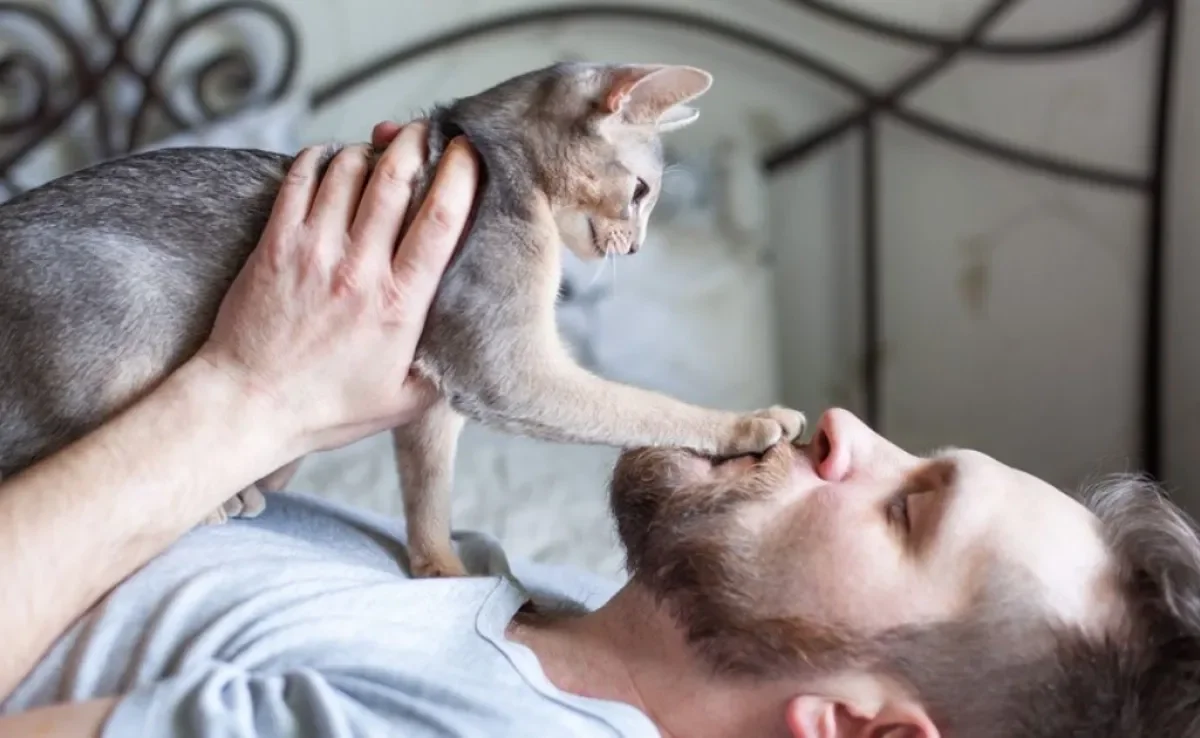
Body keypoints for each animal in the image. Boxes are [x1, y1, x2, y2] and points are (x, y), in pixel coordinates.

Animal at [2, 62, 806, 578]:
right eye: (640, 191)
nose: (633, 246)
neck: (495, 165)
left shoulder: (432, 404)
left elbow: (429, 495)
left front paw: (441, 568)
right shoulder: (503, 367)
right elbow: (644, 406)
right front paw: (746, 424)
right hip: (124, 309)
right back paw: (211, 501)